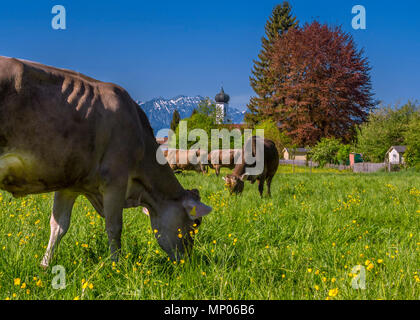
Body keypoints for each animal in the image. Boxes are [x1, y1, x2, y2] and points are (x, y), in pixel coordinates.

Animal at [0, 56, 212, 266]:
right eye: (196, 223)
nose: (188, 263)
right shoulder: (115, 181)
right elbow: (114, 227)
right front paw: (116, 265)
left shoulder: (69, 184)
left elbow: (58, 226)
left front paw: (45, 264)